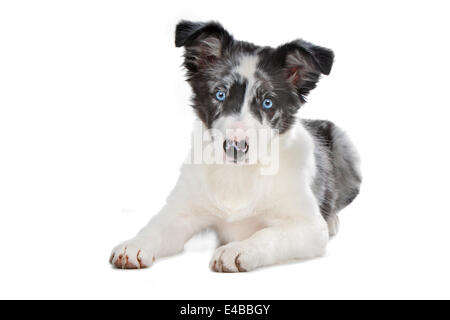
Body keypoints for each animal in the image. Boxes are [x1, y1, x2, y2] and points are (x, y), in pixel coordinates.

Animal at [110, 20, 362, 272]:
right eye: (220, 95)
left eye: (267, 102)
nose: (235, 147)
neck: (238, 174)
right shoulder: (180, 213)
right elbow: (156, 227)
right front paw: (135, 245)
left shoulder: (309, 226)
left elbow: (268, 234)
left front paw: (239, 249)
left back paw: (333, 219)